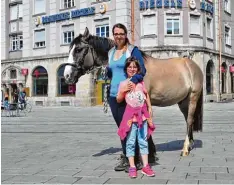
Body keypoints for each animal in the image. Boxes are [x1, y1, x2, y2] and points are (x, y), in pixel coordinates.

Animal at [64, 27, 203, 157]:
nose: (67, 75)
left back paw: (185, 149)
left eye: (78, 49)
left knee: (189, 120)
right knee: (188, 120)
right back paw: (190, 144)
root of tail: (193, 65)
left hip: (193, 97)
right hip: (183, 101)